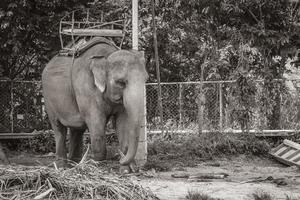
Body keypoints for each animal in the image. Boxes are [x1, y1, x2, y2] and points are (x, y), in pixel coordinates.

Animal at [42, 36, 148, 170]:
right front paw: (97, 166)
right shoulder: (86, 88)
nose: (120, 159)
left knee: (77, 129)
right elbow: (96, 123)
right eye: (120, 82)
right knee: (59, 128)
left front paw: (125, 170)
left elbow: (122, 122)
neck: (106, 57)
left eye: (146, 80)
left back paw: (75, 164)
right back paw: (62, 166)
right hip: (48, 99)